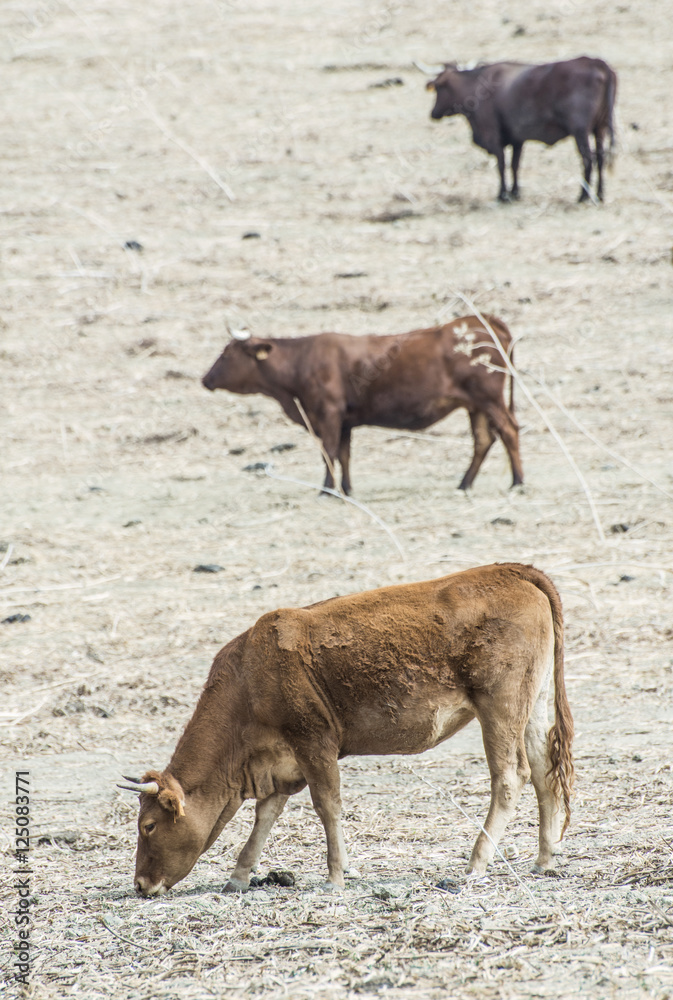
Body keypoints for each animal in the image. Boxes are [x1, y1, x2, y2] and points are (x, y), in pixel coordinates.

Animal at [119, 562, 574, 896]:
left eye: (148, 826)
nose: (141, 885)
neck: (249, 677)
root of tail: (511, 571)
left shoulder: (314, 742)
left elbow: (328, 806)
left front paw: (336, 875)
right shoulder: (282, 761)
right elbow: (266, 815)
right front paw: (239, 875)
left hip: (499, 705)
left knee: (510, 776)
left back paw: (477, 862)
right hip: (530, 705)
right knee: (543, 770)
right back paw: (544, 858)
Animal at [202, 315, 523, 494]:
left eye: (227, 353)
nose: (205, 379)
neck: (300, 362)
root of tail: (482, 320)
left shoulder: (328, 414)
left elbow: (329, 453)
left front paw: (327, 489)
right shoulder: (344, 421)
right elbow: (344, 455)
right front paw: (346, 488)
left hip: (489, 399)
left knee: (508, 431)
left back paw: (517, 482)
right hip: (475, 405)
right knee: (483, 440)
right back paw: (464, 484)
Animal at [426, 56, 617, 203]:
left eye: (438, 88)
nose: (433, 113)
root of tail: (595, 61)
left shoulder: (493, 136)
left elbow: (501, 164)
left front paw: (503, 195)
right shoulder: (517, 138)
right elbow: (514, 165)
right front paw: (515, 193)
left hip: (580, 132)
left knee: (588, 160)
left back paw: (583, 196)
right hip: (600, 129)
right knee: (601, 158)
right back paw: (600, 195)